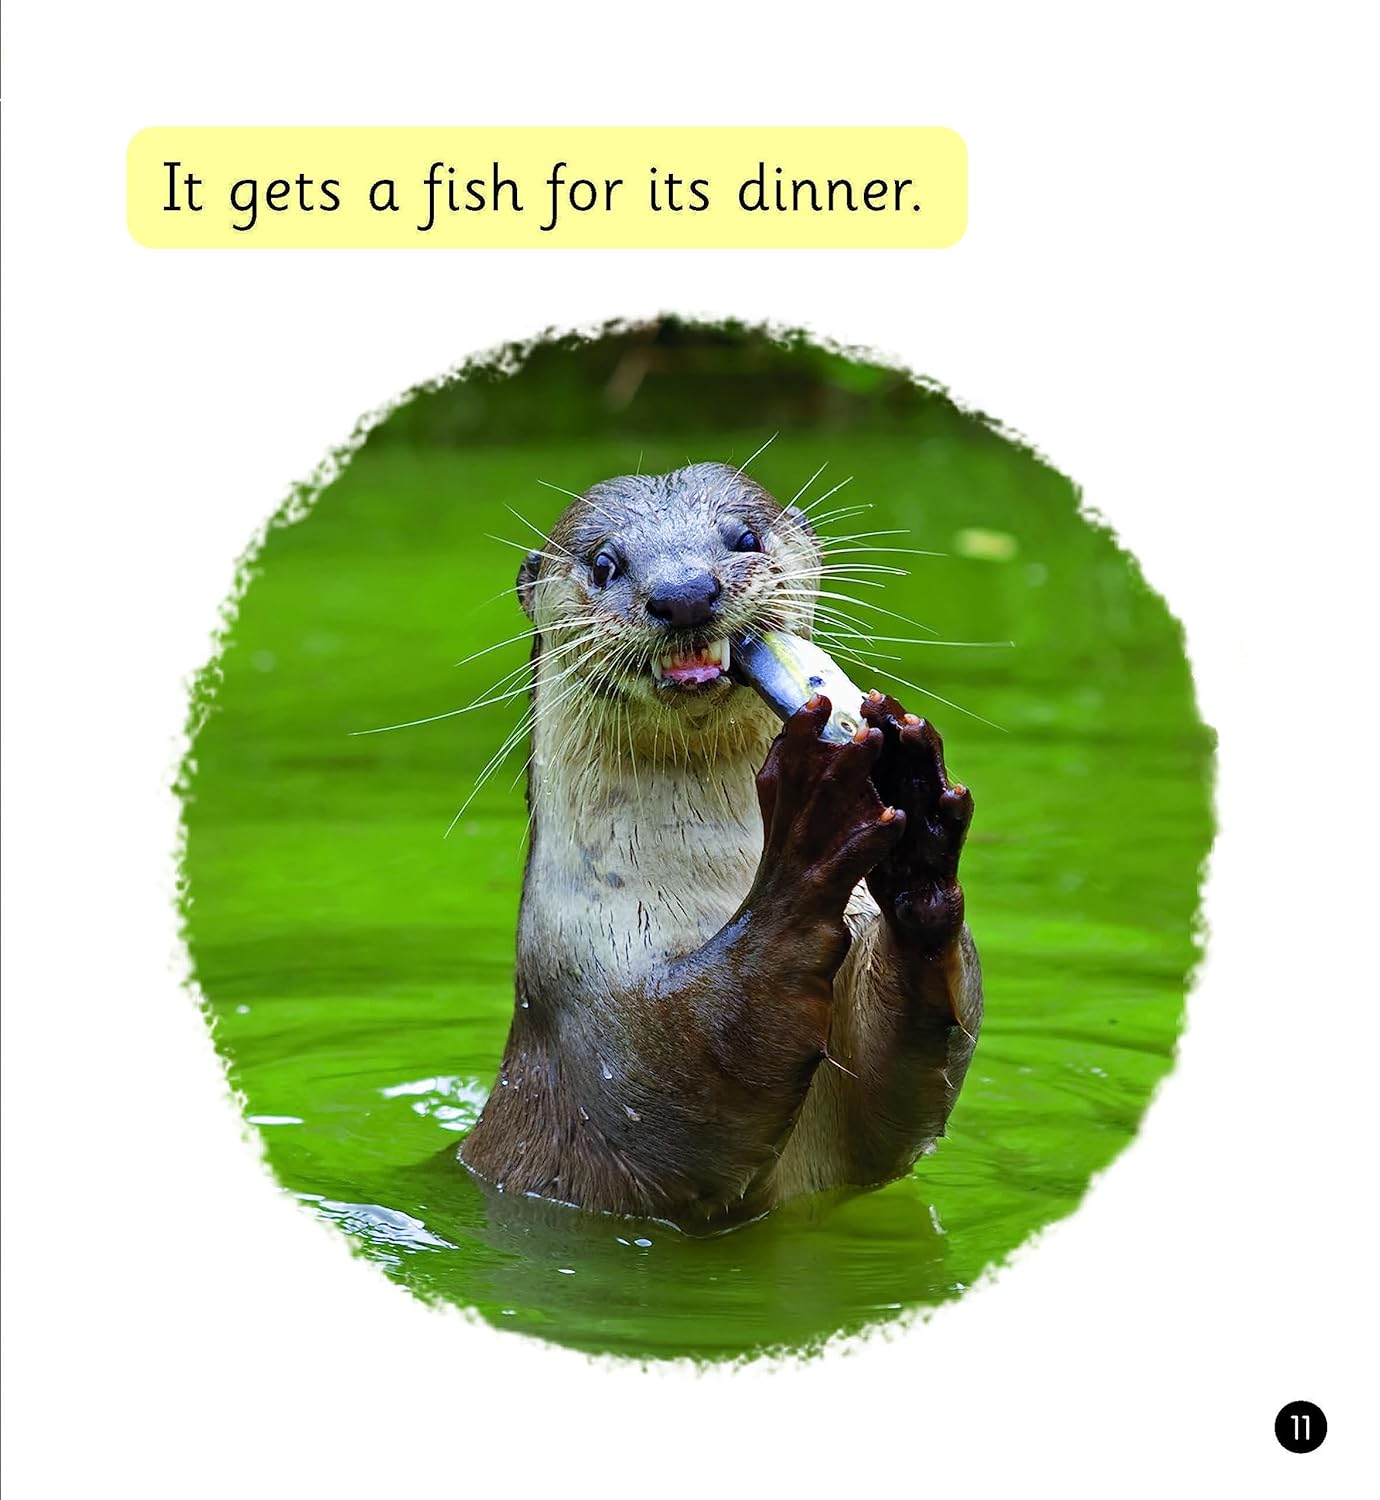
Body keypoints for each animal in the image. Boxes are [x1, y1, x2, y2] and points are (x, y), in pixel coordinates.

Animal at [459, 461, 982, 1230]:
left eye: (744, 537)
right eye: (604, 563)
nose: (684, 594)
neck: (703, 899)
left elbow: (908, 1089)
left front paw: (920, 815)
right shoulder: (596, 1012)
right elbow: (690, 1073)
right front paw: (811, 803)